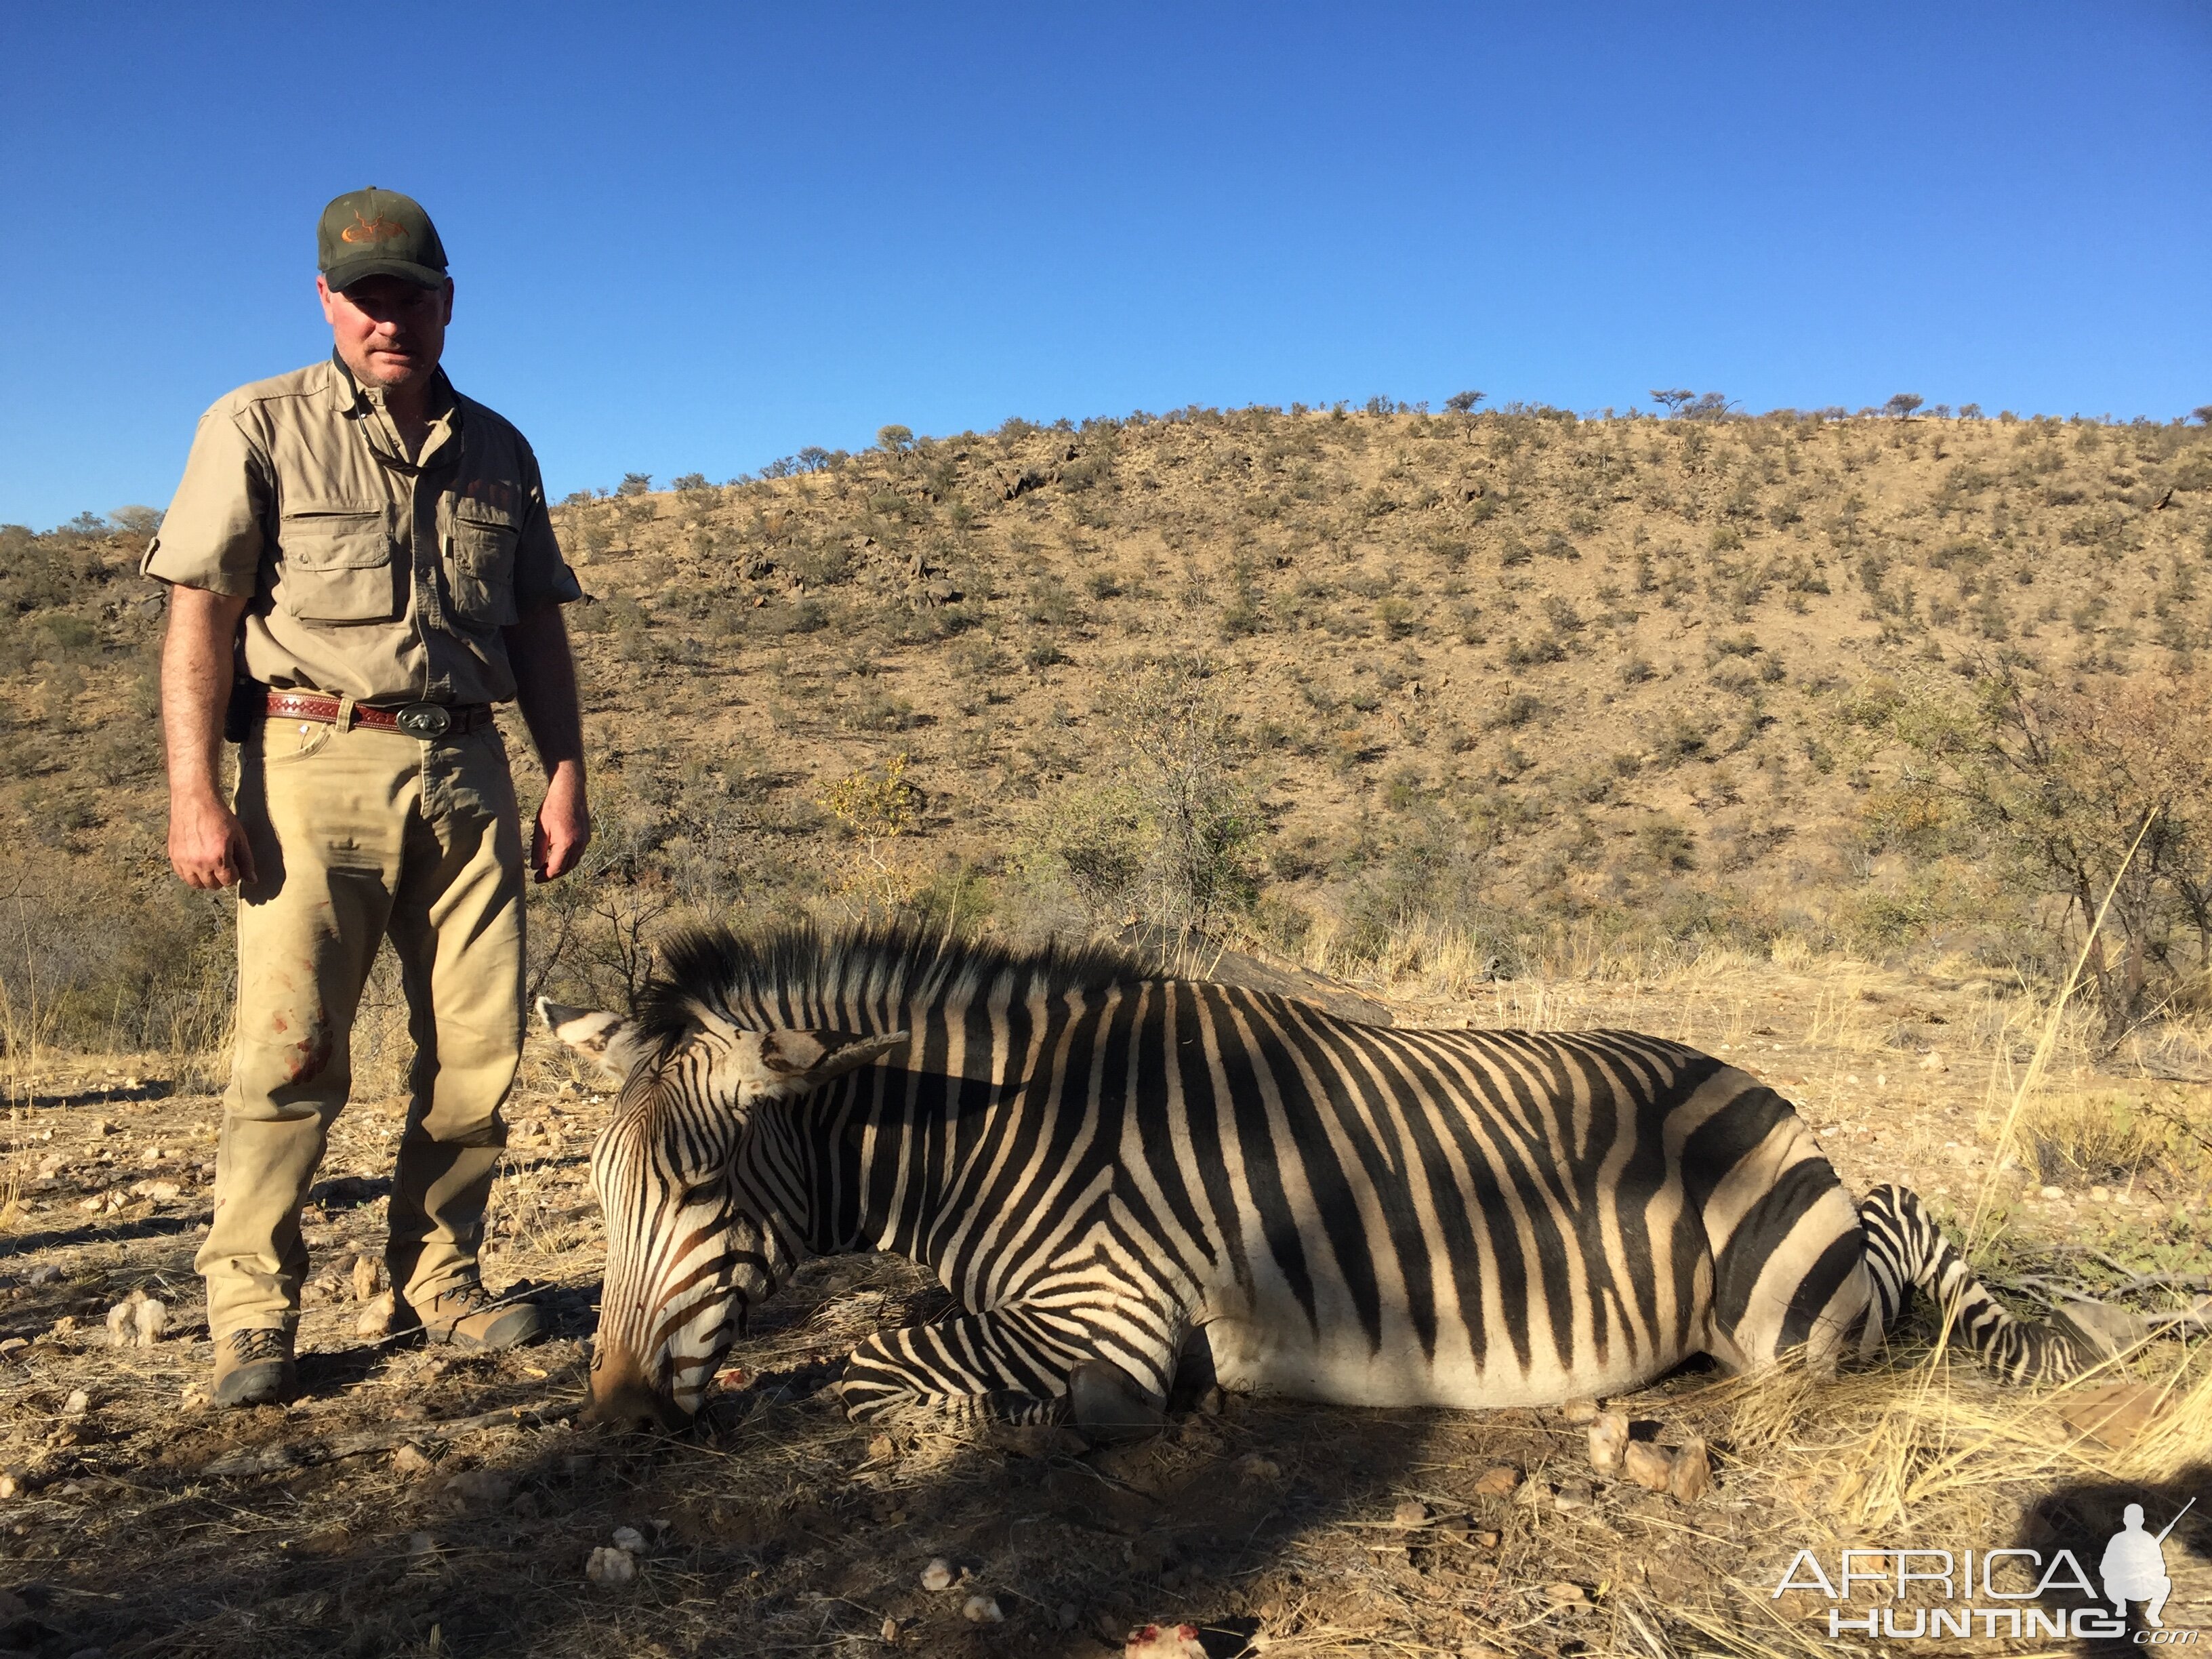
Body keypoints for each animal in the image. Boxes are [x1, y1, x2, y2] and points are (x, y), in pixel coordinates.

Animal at [539, 928, 2088, 1433]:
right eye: (600, 1197)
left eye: (700, 1193)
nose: (611, 1411)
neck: (999, 1131)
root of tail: (1761, 1091)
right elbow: (884, 1338)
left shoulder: (1112, 1313)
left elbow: (883, 1357)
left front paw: (1037, 1420)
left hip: (1783, 1320)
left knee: (1900, 1227)